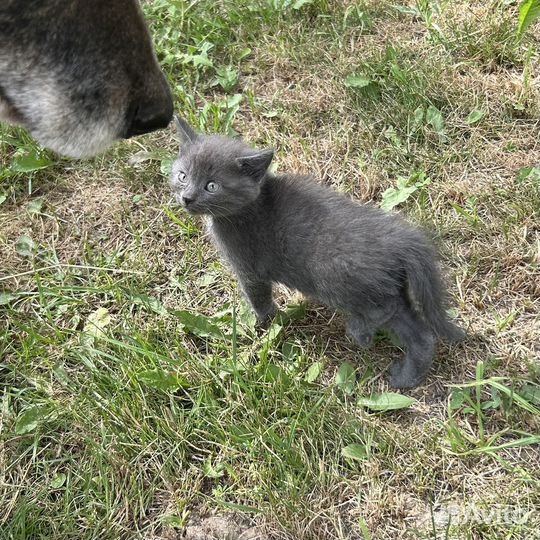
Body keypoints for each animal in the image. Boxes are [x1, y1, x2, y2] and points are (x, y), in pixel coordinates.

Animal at [170, 118, 464, 388]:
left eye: (211, 186)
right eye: (183, 176)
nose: (187, 198)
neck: (248, 209)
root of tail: (402, 239)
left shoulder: (249, 268)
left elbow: (258, 298)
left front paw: (266, 326)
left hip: (335, 275)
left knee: (384, 308)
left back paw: (360, 333)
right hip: (388, 285)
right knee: (419, 332)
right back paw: (406, 377)